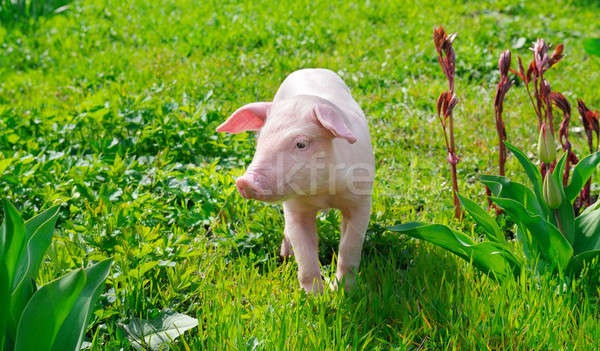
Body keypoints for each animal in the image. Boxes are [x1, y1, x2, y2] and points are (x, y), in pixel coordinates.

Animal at [216, 69, 376, 294]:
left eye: (301, 144)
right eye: (260, 141)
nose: (244, 182)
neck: (323, 192)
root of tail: (311, 69)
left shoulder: (361, 200)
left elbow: (349, 247)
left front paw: (344, 291)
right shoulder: (295, 207)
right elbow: (305, 253)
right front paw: (315, 297)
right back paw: (285, 255)